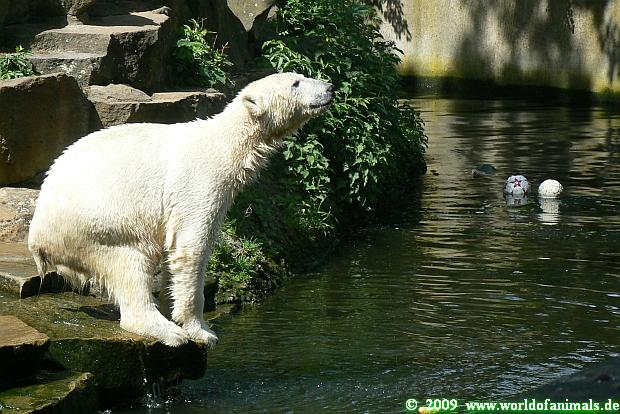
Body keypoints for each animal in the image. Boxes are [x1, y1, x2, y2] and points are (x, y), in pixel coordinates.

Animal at [28, 72, 334, 347]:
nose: (330, 88)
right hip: (96, 222)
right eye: (296, 83)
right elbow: (191, 247)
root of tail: (37, 236)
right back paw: (167, 332)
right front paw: (200, 330)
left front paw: (172, 307)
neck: (226, 144)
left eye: (301, 76)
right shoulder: (200, 181)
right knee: (129, 260)